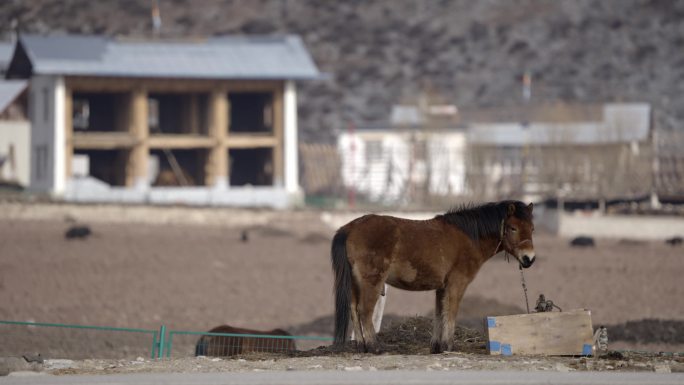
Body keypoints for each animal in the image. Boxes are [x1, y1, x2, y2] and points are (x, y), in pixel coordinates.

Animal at [332, 200, 536, 352]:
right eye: (512, 228)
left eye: (532, 228)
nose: (529, 258)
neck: (469, 236)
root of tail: (350, 227)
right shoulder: (457, 283)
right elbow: (451, 312)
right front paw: (448, 346)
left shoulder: (442, 287)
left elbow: (440, 313)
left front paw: (437, 347)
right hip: (371, 282)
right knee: (364, 311)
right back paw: (374, 347)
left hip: (355, 283)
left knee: (353, 309)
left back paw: (361, 346)